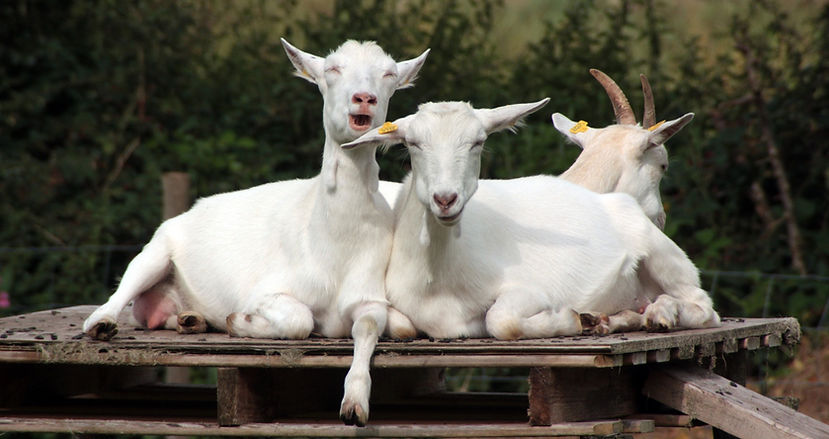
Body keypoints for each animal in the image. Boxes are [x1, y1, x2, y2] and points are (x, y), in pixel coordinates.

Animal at [82, 39, 429, 426]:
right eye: (331, 70)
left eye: (389, 75)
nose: (364, 98)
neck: (332, 245)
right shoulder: (264, 290)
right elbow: (299, 320)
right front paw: (240, 321)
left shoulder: (368, 293)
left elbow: (374, 328)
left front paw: (354, 404)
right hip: (157, 249)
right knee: (123, 288)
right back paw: (103, 323)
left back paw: (190, 320)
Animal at [343, 100, 720, 341]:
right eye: (412, 143)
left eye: (479, 142)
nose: (446, 199)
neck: (440, 278)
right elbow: (398, 325)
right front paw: (586, 319)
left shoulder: (530, 289)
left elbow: (500, 320)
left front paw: (568, 318)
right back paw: (617, 319)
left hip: (664, 256)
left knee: (704, 305)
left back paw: (660, 314)